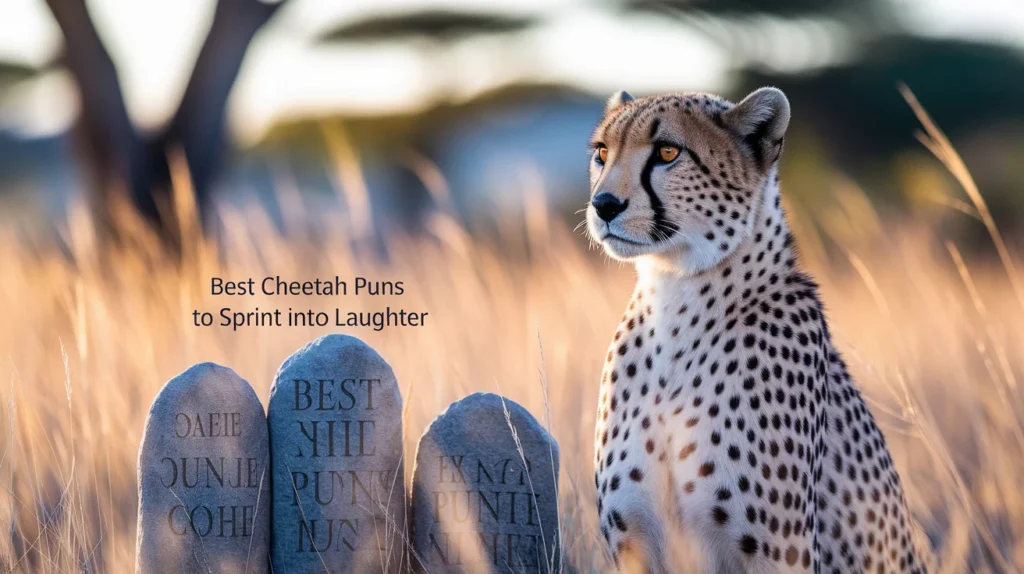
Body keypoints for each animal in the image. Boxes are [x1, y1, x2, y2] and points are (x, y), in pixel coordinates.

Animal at [586, 87, 930, 573]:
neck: (674, 294)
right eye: (602, 152)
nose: (603, 205)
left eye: (668, 152)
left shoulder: (782, 550)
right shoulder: (632, 542)